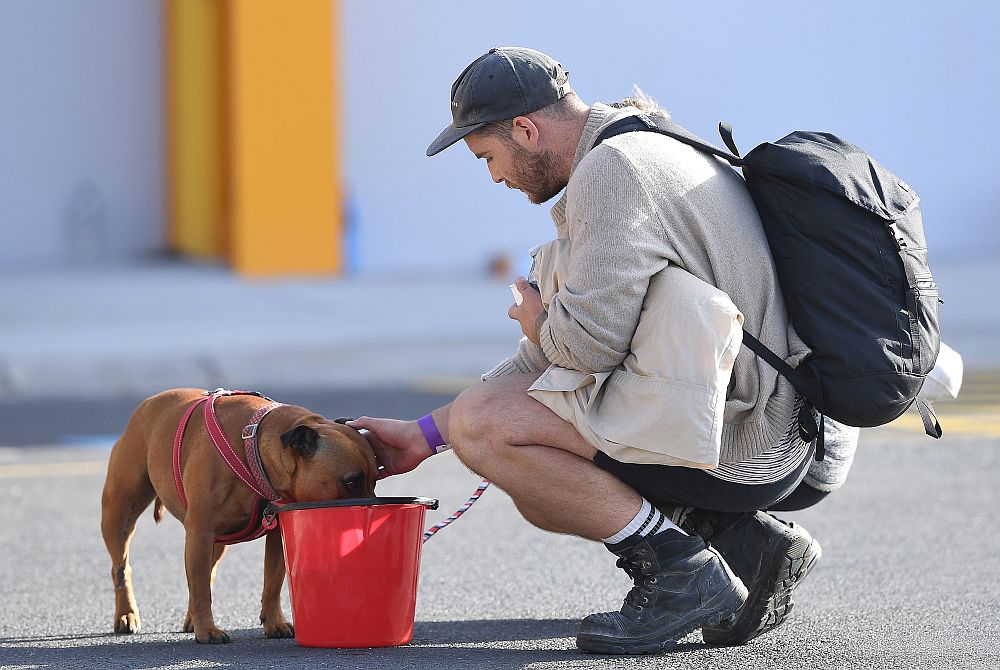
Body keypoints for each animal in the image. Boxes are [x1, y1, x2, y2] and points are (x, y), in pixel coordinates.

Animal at [99, 388, 376, 644]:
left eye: (376, 478)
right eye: (351, 481)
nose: (372, 503)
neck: (254, 450)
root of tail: (145, 405)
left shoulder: (274, 536)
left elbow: (272, 581)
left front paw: (274, 623)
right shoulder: (200, 532)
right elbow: (201, 590)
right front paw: (207, 631)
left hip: (217, 542)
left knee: (207, 572)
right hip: (120, 514)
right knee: (121, 568)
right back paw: (126, 615)